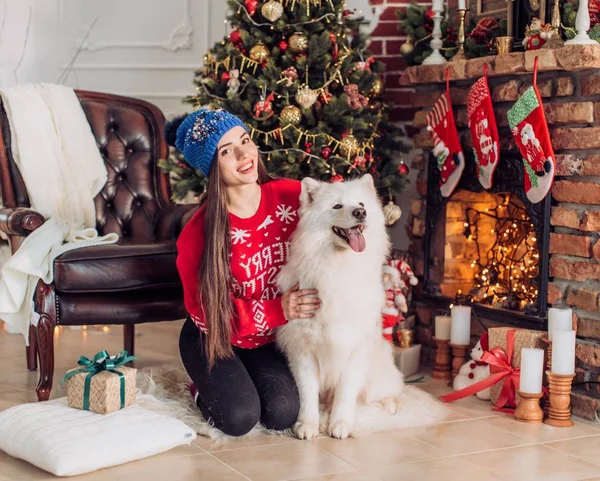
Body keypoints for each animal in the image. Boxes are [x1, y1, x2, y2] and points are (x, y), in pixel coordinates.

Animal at [276, 173, 404, 438]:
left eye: (362, 204)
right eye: (337, 206)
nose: (360, 213)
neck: (338, 265)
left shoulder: (353, 347)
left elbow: (345, 393)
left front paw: (340, 424)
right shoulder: (303, 351)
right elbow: (307, 394)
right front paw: (308, 425)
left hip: (379, 368)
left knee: (392, 390)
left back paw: (389, 405)